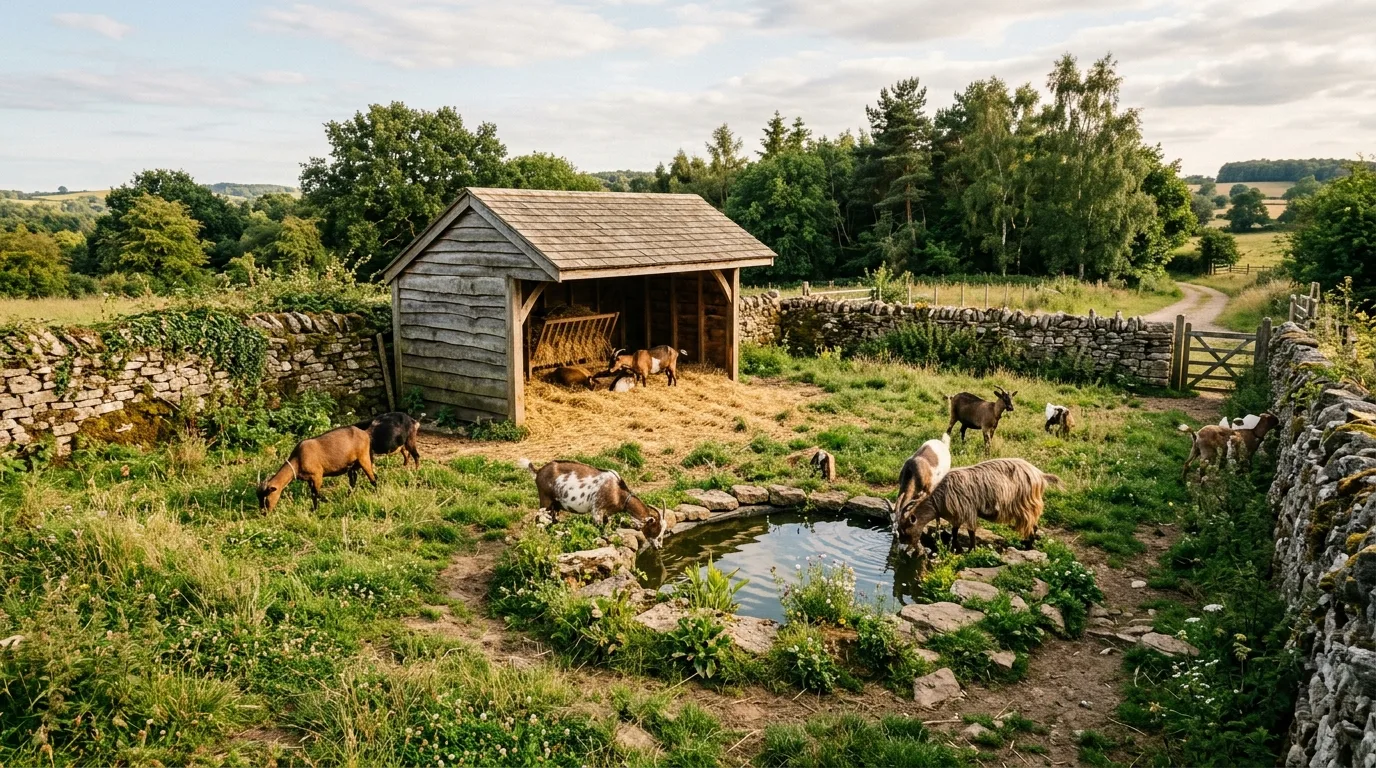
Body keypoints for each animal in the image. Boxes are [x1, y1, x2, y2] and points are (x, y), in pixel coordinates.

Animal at [518, 458, 667, 548]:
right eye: (656, 528)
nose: (659, 547)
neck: (618, 492)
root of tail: (538, 471)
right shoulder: (597, 511)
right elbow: (600, 531)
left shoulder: (607, 514)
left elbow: (607, 530)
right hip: (545, 500)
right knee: (539, 520)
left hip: (555, 506)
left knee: (551, 522)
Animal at [896, 457, 1060, 554]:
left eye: (905, 530)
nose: (902, 547)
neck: (940, 497)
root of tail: (1040, 475)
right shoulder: (958, 514)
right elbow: (955, 531)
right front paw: (957, 547)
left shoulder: (968, 510)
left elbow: (970, 531)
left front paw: (970, 550)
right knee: (1034, 525)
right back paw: (1026, 544)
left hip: (1026, 504)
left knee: (1032, 525)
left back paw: (1028, 547)